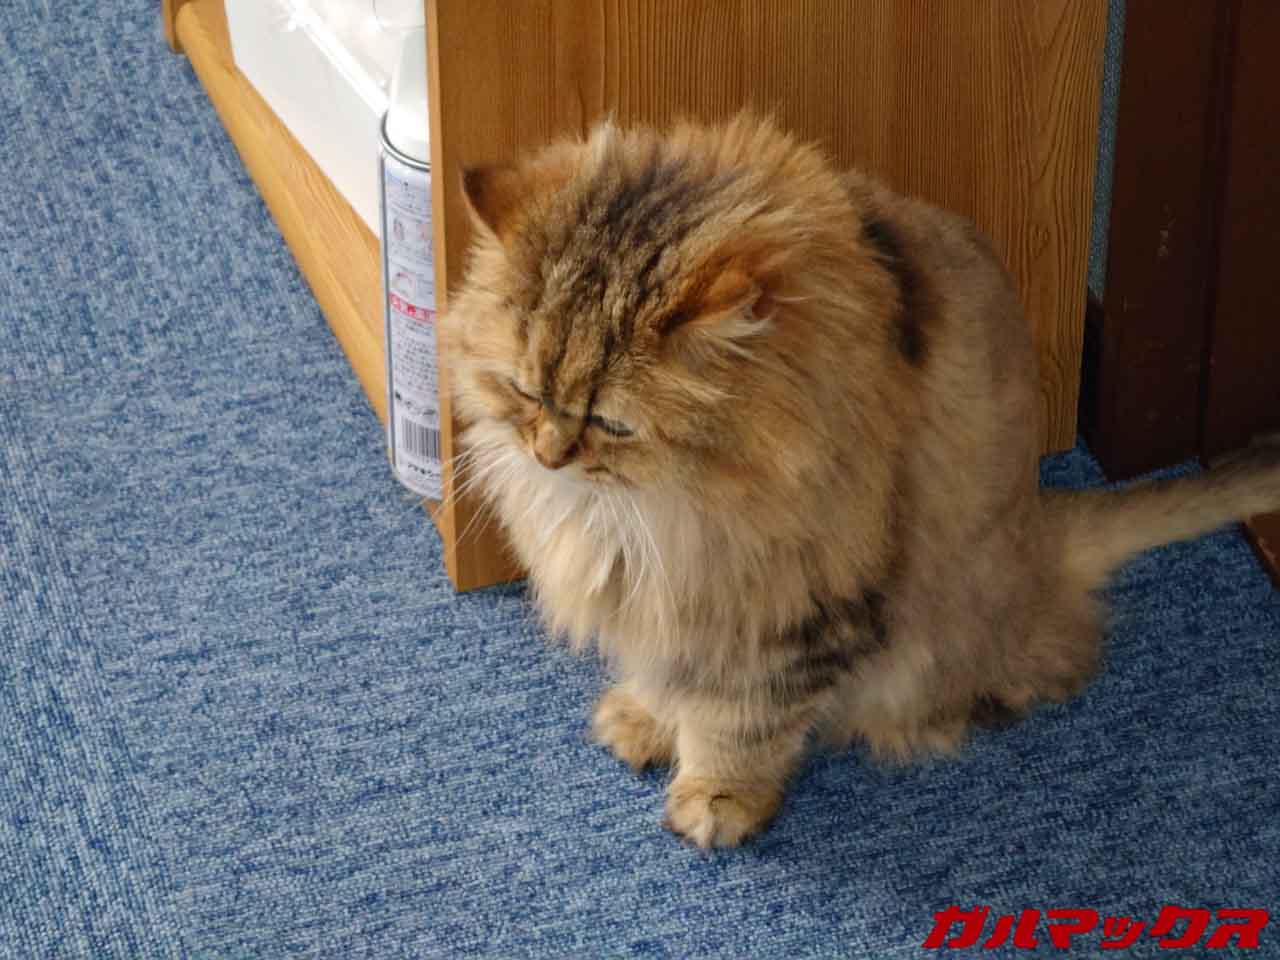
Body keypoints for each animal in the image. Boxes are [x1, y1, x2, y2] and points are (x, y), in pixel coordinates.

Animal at [440, 114, 1280, 848]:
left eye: (612, 424)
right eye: (523, 391)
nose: (547, 454)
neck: (658, 507)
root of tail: (1041, 529)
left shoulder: (787, 609)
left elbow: (739, 723)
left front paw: (718, 801)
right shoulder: (661, 595)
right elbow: (661, 671)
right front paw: (644, 720)